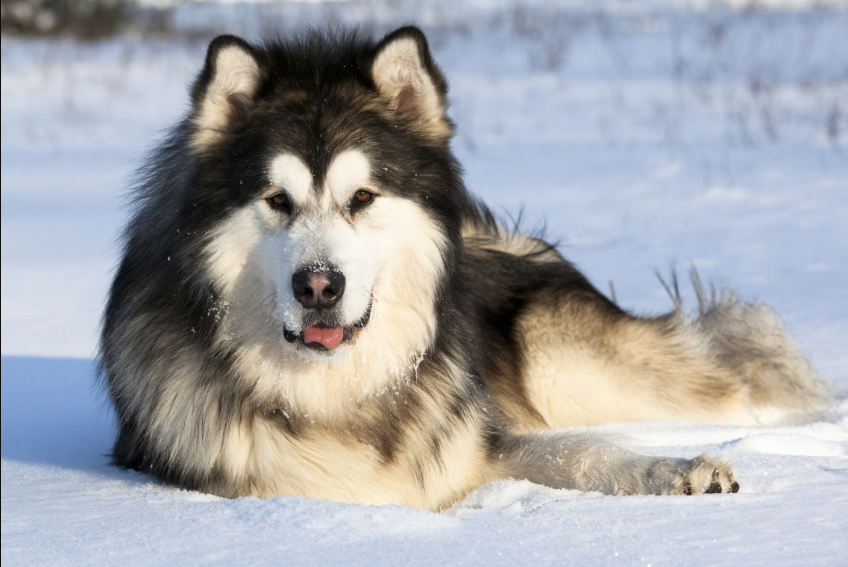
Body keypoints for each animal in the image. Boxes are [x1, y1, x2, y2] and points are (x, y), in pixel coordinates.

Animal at [97, 26, 828, 510]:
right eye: (278, 200)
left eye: (362, 198)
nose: (319, 285)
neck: (339, 393)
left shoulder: (478, 439)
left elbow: (583, 452)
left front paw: (678, 470)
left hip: (570, 363)